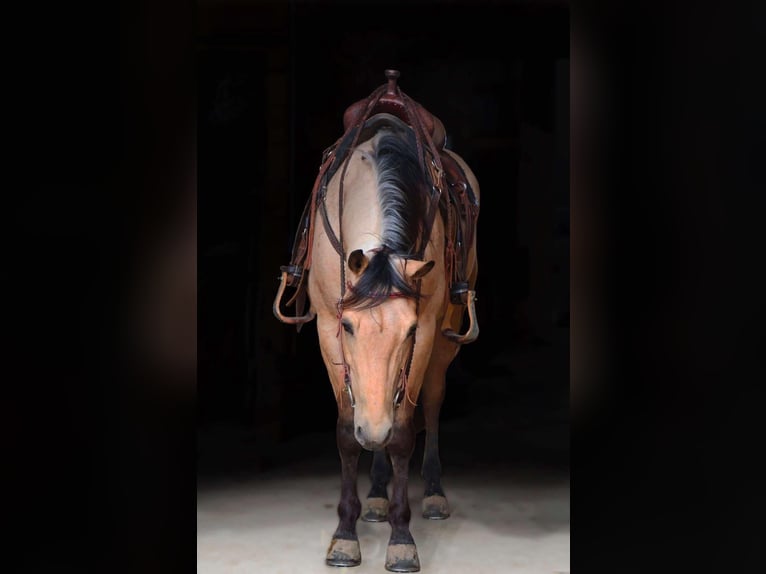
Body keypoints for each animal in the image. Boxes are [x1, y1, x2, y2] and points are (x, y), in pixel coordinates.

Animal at [274, 70, 480, 572]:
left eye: (408, 331)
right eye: (349, 327)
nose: (374, 429)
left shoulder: (425, 332)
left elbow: (402, 431)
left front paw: (402, 539)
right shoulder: (327, 330)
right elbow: (348, 432)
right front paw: (346, 535)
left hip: (446, 341)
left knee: (430, 402)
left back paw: (432, 494)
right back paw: (376, 497)